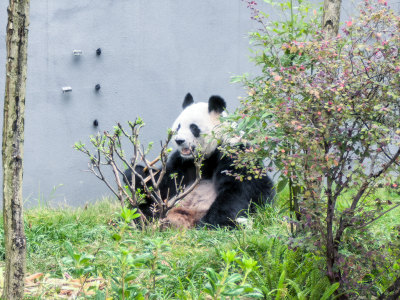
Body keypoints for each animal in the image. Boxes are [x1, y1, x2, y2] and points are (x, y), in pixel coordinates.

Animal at [125, 93, 276, 227]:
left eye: (193, 127)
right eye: (178, 126)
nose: (179, 140)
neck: (207, 156)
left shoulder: (235, 153)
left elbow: (237, 190)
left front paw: (212, 223)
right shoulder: (183, 162)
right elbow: (165, 183)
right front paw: (135, 174)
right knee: (142, 210)